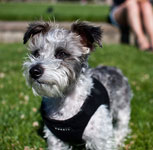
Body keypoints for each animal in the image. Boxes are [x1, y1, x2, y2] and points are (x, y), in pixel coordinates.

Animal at [23, 21, 133, 150]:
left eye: (62, 53)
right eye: (36, 53)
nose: (34, 71)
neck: (65, 101)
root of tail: (114, 69)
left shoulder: (100, 139)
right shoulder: (55, 140)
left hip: (122, 110)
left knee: (122, 127)